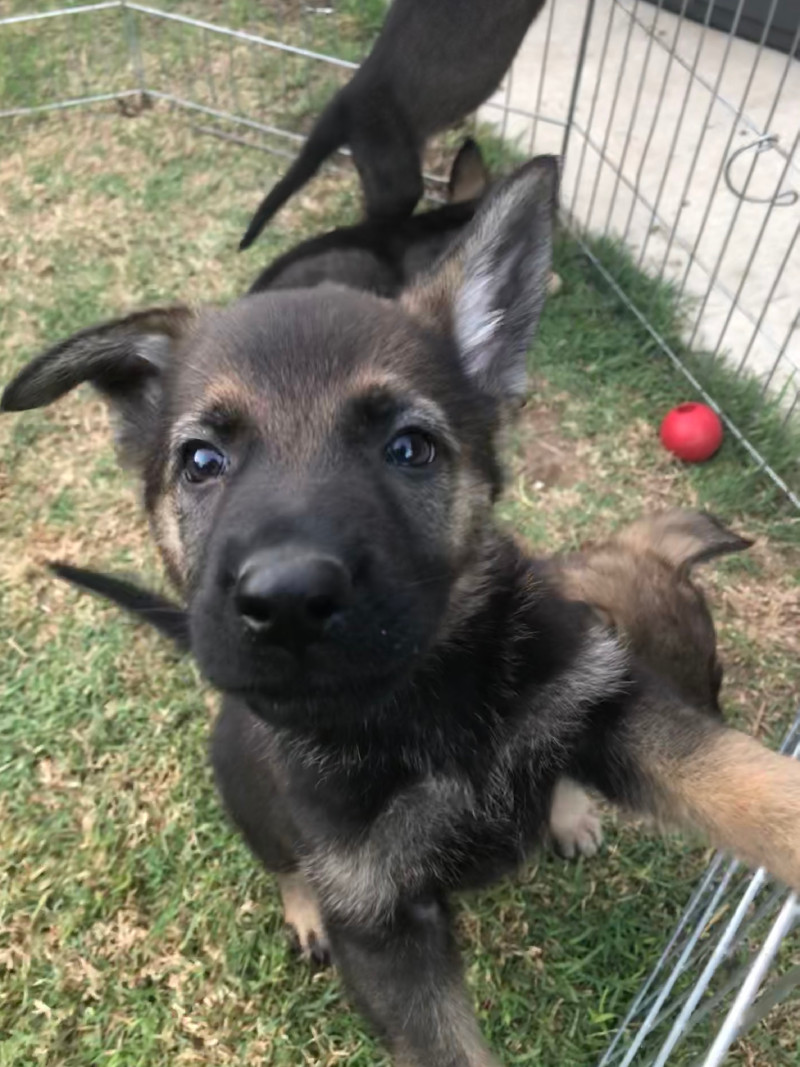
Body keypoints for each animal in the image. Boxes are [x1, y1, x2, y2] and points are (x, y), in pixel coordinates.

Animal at [3, 160, 797, 1067]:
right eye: (202, 461)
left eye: (409, 447)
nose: (287, 603)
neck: (425, 709)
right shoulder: (381, 925)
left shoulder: (608, 706)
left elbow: (749, 782)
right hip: (249, 800)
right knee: (285, 864)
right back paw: (303, 909)